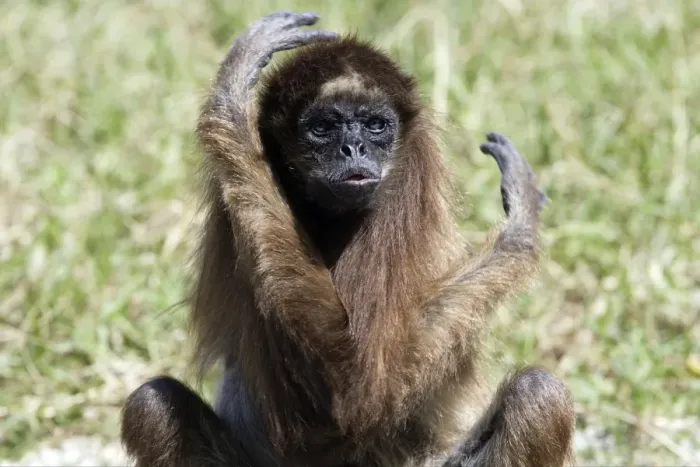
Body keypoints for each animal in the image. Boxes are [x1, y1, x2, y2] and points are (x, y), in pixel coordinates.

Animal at [121, 11, 575, 467]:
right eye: (323, 127)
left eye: (375, 125)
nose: (353, 148)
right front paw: (231, 98)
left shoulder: (404, 185)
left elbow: (364, 388)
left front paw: (521, 227)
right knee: (153, 404)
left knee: (537, 395)